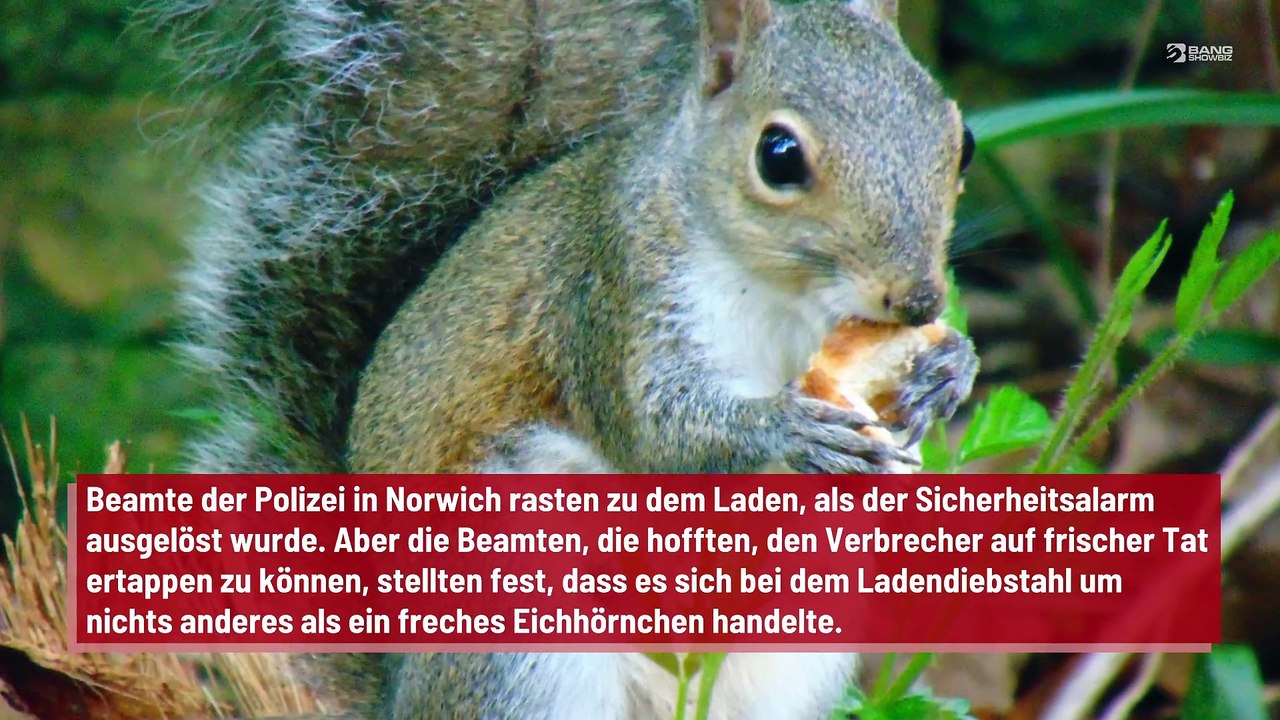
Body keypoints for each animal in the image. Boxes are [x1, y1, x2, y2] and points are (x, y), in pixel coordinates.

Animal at [164, 0, 979, 716]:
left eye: (963, 138)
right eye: (778, 156)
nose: (917, 301)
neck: (784, 293)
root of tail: (396, 690)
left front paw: (948, 371)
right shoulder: (611, 295)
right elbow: (657, 436)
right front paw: (790, 429)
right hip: (517, 636)